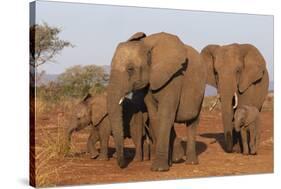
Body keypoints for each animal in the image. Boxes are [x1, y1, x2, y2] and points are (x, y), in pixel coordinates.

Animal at [107, 32, 206, 171]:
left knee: (192, 122)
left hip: (200, 91)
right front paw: (167, 164)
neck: (147, 44)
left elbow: (165, 114)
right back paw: (176, 159)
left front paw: (159, 169)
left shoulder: (175, 77)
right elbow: (155, 116)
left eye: (130, 69)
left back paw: (191, 162)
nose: (122, 165)